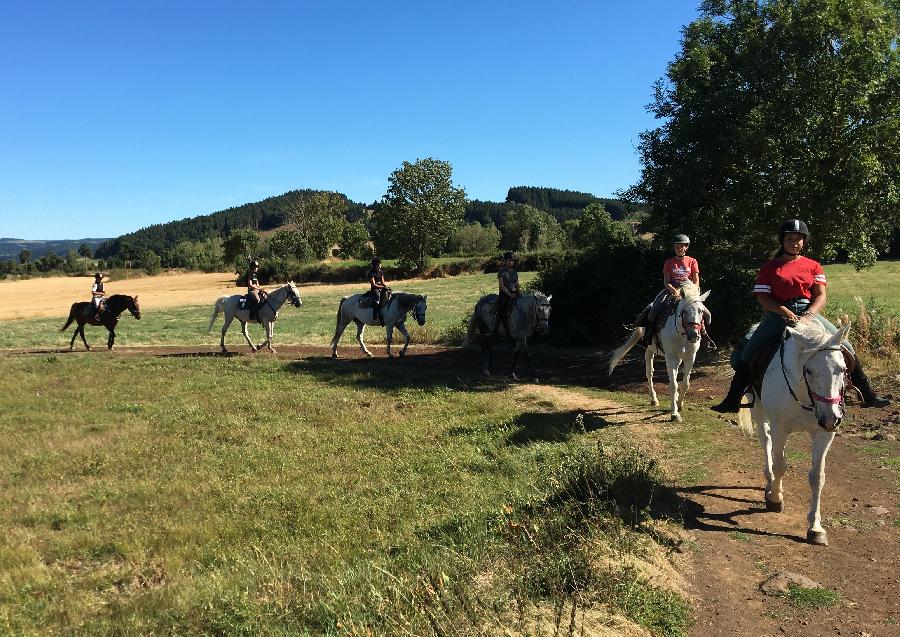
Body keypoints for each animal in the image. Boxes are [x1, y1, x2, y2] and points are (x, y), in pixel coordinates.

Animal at [604, 284, 712, 422]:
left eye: (701, 311)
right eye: (684, 312)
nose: (693, 335)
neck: (682, 334)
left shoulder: (690, 357)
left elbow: (685, 383)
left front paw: (679, 404)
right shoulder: (670, 357)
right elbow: (673, 385)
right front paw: (674, 413)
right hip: (649, 350)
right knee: (649, 373)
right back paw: (654, 399)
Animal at [740, 322, 852, 548]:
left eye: (843, 369)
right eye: (809, 370)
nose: (831, 418)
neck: (804, 393)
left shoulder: (823, 433)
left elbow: (817, 476)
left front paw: (815, 528)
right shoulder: (780, 427)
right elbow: (780, 465)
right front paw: (775, 499)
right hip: (759, 411)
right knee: (766, 442)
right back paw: (770, 483)